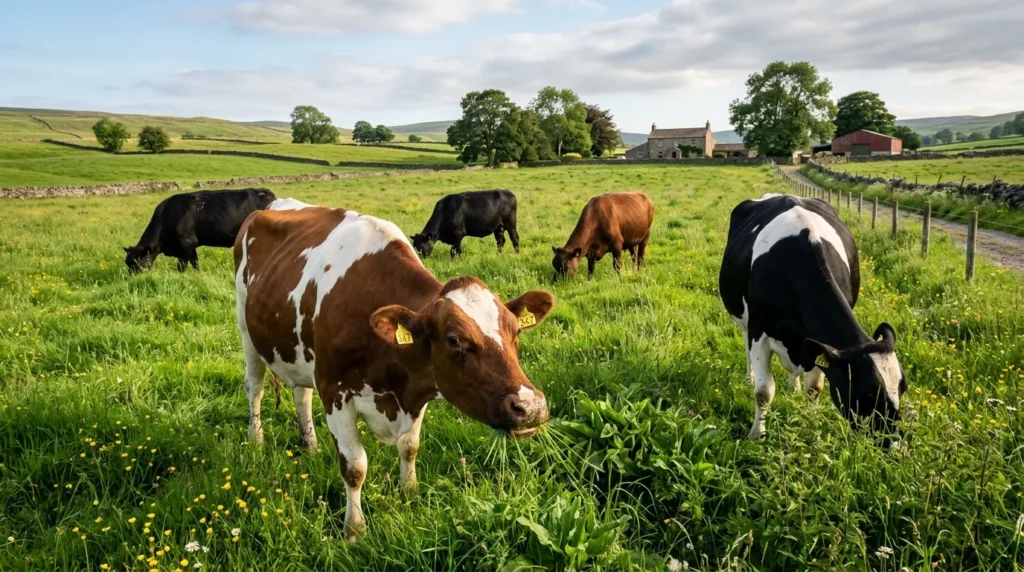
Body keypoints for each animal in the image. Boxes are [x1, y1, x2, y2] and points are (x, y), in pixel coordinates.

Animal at [124, 188, 276, 273]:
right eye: (127, 263)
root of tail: (267, 192)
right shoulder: (192, 245)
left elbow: (181, 266)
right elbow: (195, 263)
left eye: (136, 264)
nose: (132, 280)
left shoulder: (187, 243)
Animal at [234, 198, 554, 542]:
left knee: (301, 395)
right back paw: (256, 442)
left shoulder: (418, 389)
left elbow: (410, 447)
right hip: (246, 330)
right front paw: (354, 530)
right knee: (255, 388)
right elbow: (355, 467)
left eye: (516, 331)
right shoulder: (334, 391)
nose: (531, 407)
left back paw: (310, 445)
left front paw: (409, 492)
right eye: (454, 340)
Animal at [718, 193, 906, 440]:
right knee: (746, 348)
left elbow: (814, 389)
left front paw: (812, 428)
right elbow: (763, 392)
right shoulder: (758, 332)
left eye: (903, 387)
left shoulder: (818, 344)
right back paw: (749, 377)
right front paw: (756, 435)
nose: (892, 442)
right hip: (743, 318)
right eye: (866, 393)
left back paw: (793, 386)